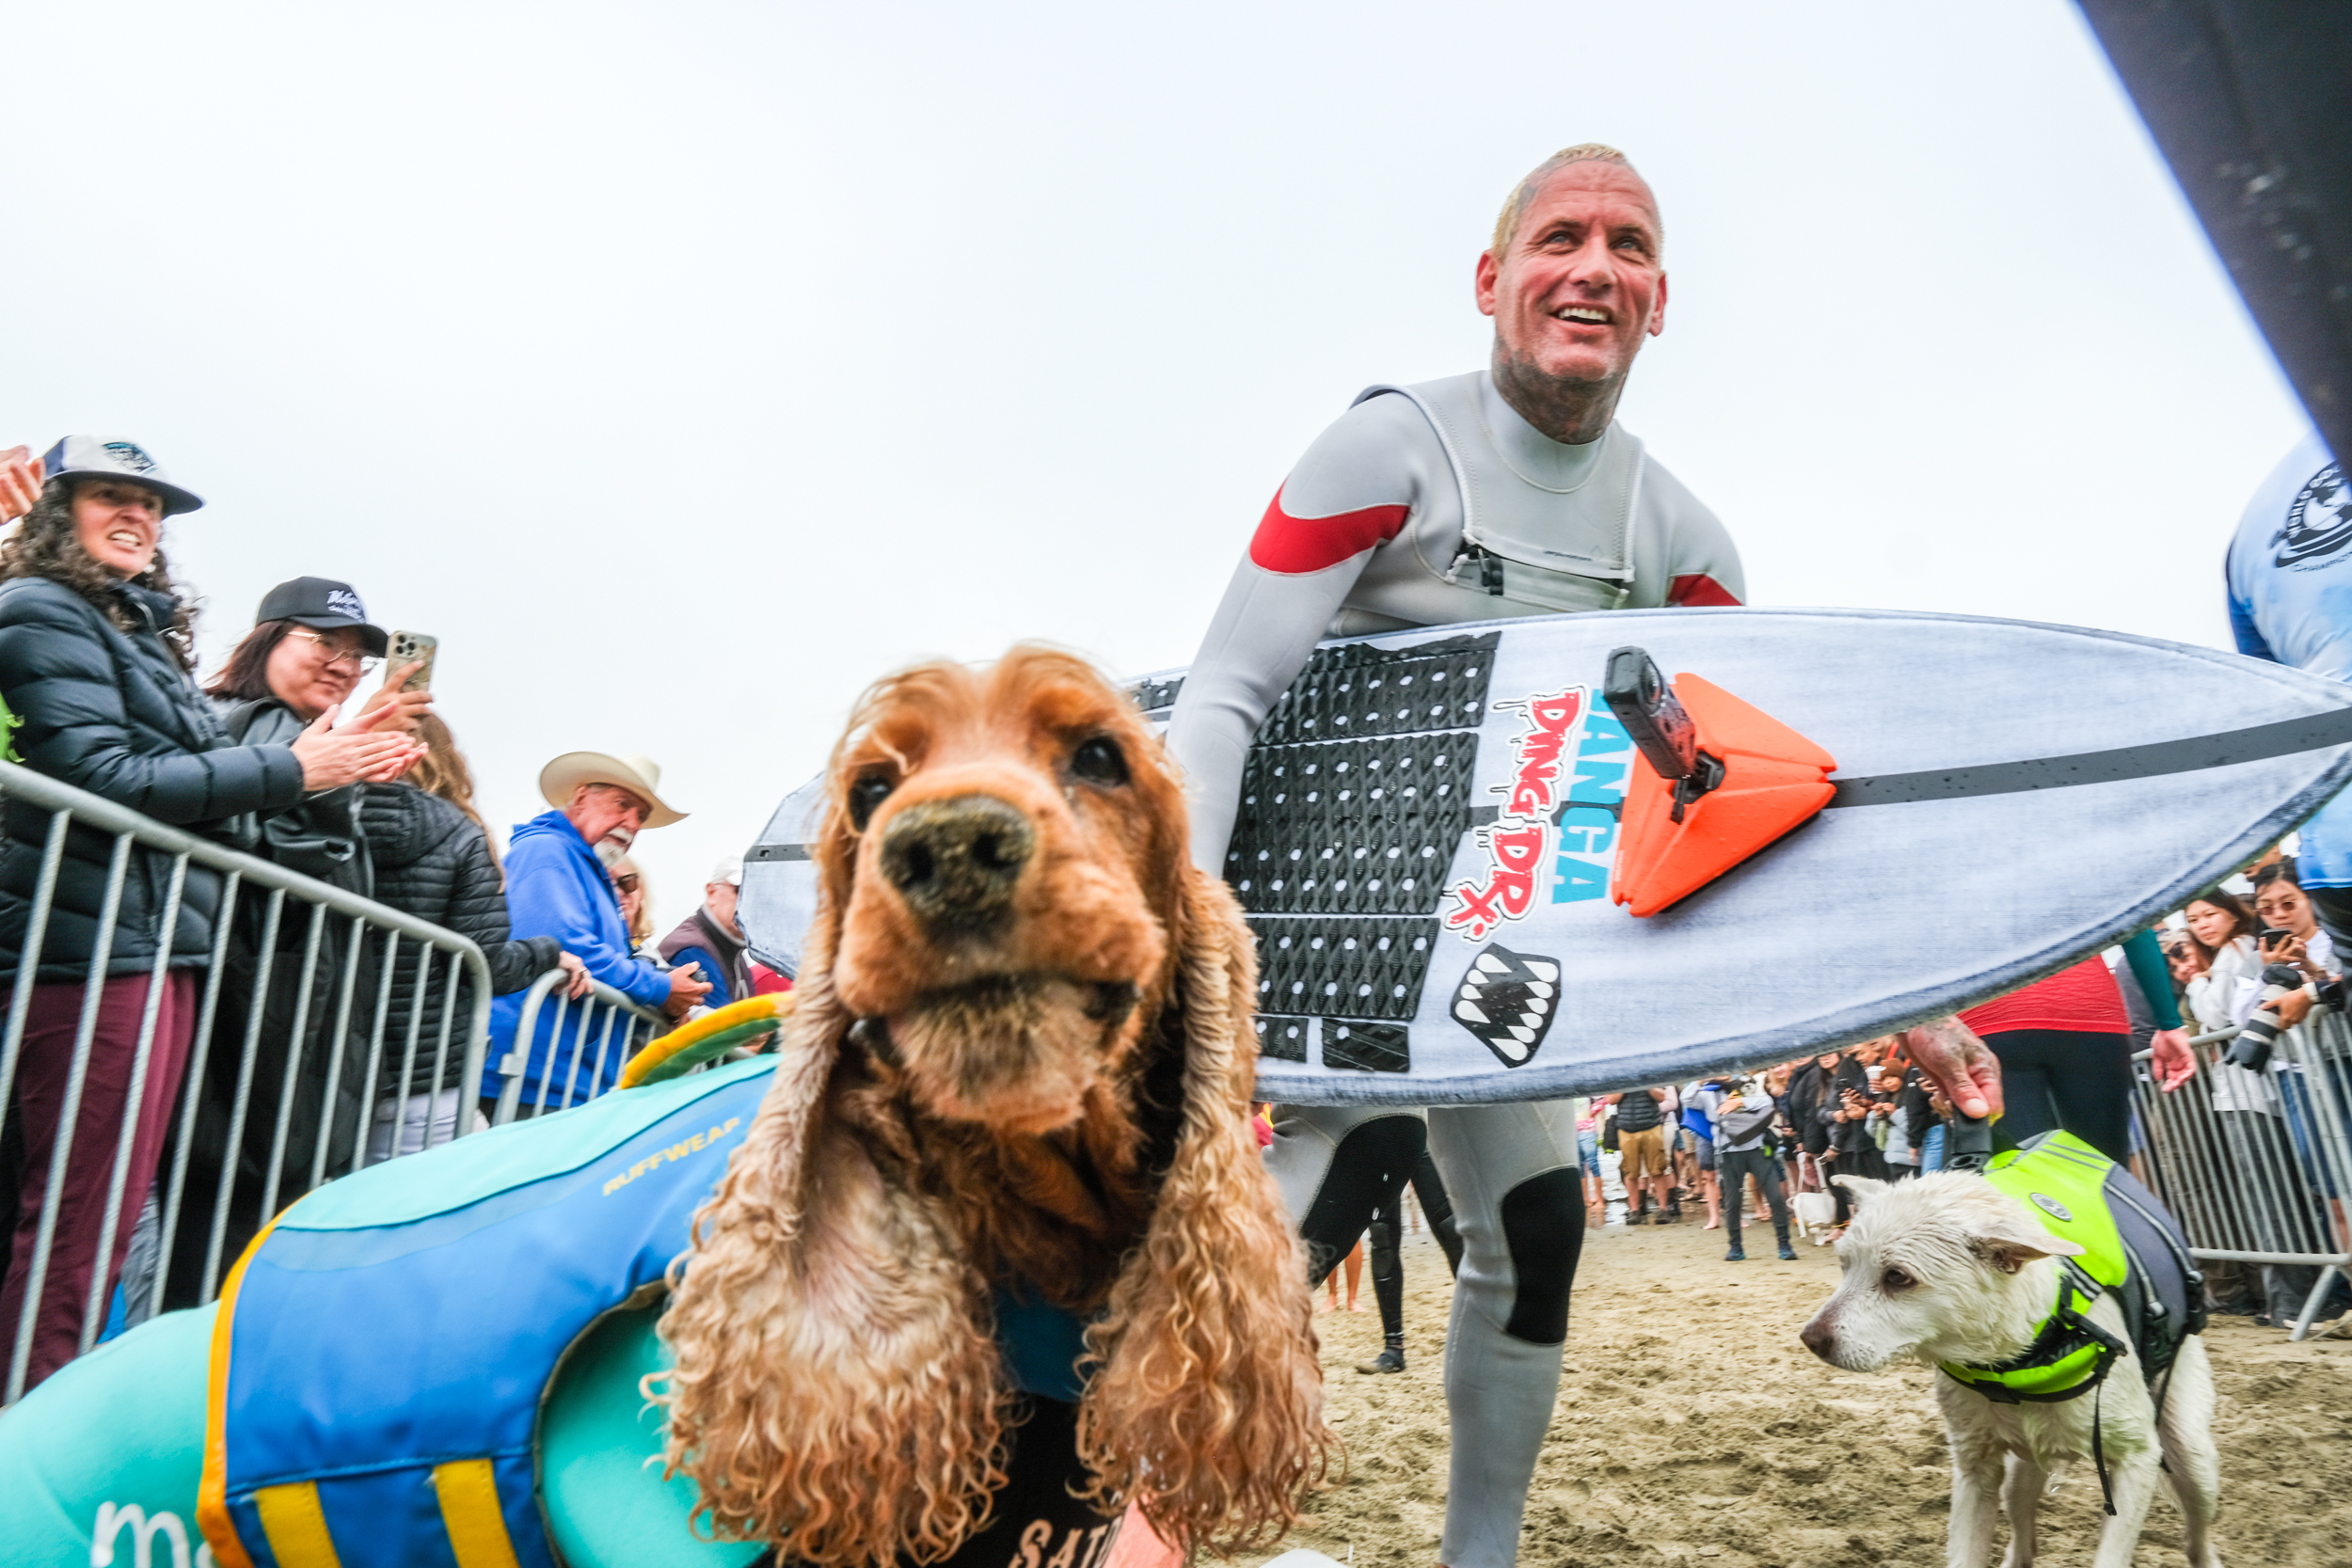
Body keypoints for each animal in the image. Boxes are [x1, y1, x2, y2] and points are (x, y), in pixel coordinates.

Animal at [1797, 1170, 2220, 1560]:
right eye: (1844, 1264)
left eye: (1898, 1277)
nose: (1810, 1339)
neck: (2021, 1359)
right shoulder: (1975, 1469)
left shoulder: (2137, 1460)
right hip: (2022, 1472)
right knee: (2023, 1541)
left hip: (2191, 1457)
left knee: (2198, 1537)